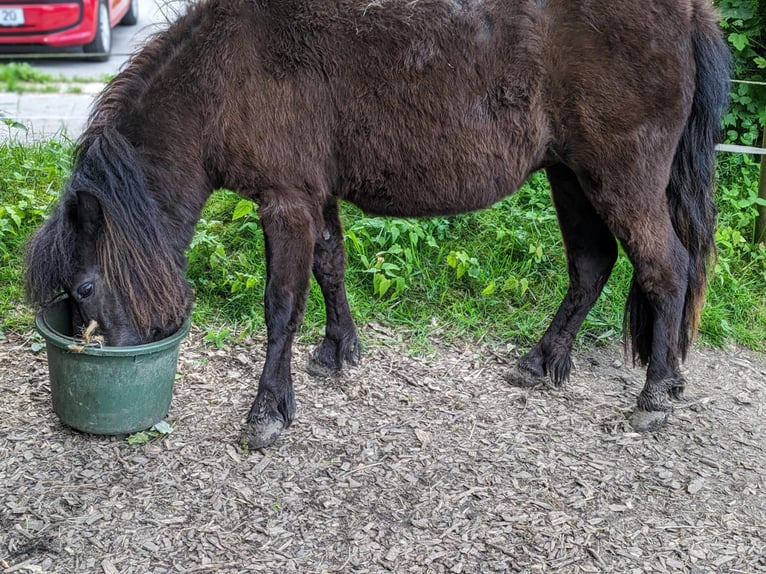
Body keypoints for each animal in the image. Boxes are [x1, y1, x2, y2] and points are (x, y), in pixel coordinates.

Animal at [25, 0, 732, 450]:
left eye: (84, 287)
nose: (104, 358)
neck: (225, 71)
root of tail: (687, 12)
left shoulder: (286, 200)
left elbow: (281, 306)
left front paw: (267, 412)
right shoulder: (316, 195)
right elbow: (330, 267)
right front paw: (338, 351)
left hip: (620, 178)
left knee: (666, 268)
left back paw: (655, 395)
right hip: (570, 175)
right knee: (592, 266)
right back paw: (545, 361)